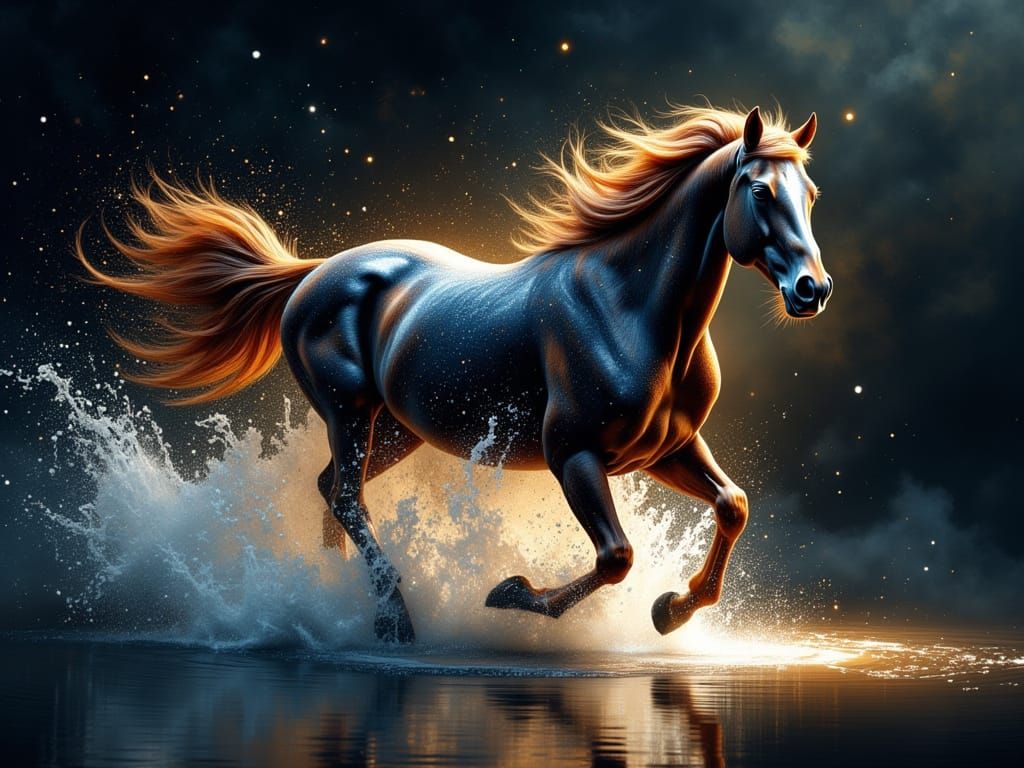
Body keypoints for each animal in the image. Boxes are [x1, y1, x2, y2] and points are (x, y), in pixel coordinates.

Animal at [77, 105, 830, 644]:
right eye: (759, 191)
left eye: (812, 194)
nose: (811, 290)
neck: (633, 309)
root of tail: (312, 272)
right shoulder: (574, 455)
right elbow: (616, 556)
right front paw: (511, 592)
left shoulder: (666, 449)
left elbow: (733, 505)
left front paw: (671, 609)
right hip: (348, 413)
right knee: (346, 497)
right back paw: (391, 621)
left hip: (397, 430)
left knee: (333, 493)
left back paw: (330, 602)